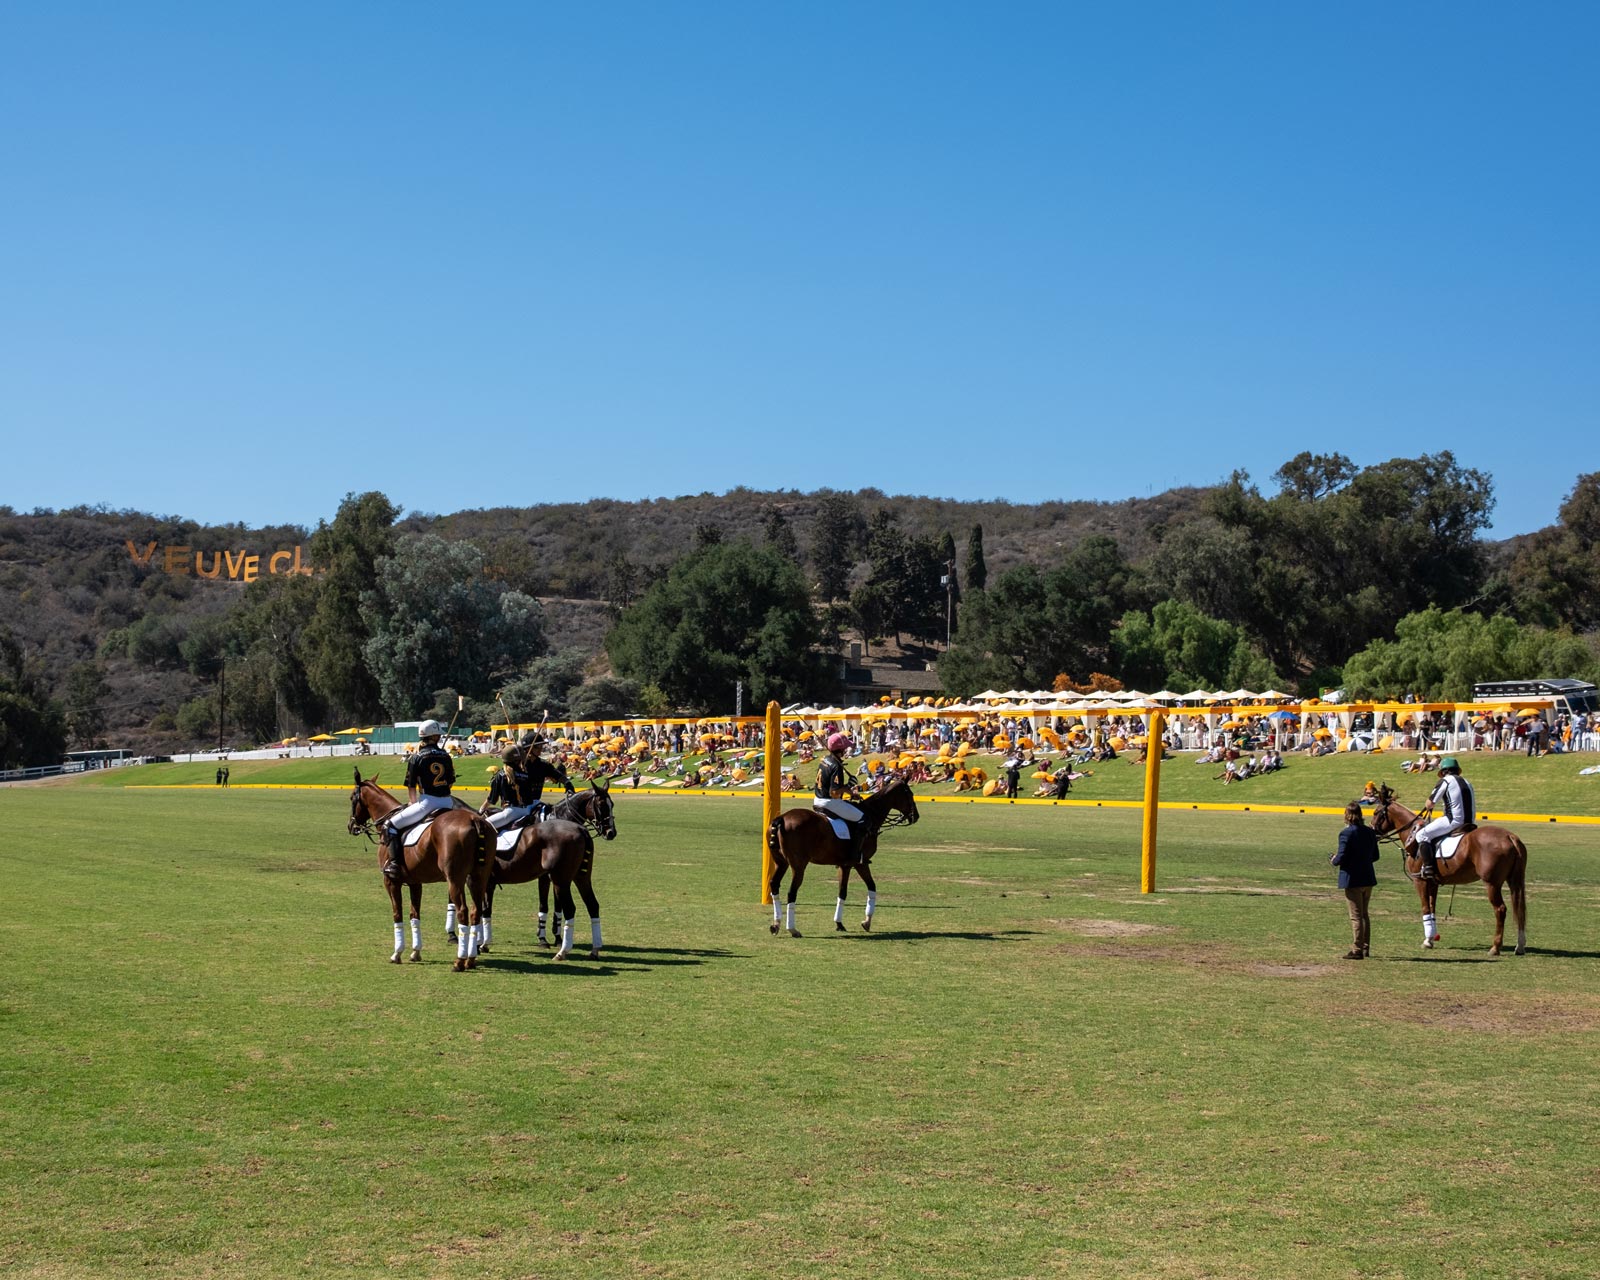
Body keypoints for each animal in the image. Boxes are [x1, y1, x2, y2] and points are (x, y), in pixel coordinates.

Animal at [347, 771, 496, 972]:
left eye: (351, 798)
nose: (351, 826)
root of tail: (475, 820)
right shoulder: (415, 882)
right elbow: (414, 915)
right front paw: (415, 952)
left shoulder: (390, 881)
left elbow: (397, 914)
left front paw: (397, 954)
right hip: (478, 876)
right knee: (476, 911)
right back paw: (471, 959)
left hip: (455, 878)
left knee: (463, 911)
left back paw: (459, 961)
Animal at [764, 774, 921, 934]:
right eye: (909, 794)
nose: (916, 816)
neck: (871, 815)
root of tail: (781, 818)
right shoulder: (858, 863)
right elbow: (861, 888)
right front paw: (864, 922)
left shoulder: (844, 865)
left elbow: (849, 891)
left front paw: (844, 923)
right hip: (798, 865)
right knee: (791, 892)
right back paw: (792, 929)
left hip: (781, 862)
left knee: (774, 885)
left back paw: (776, 924)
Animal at [1369, 780, 1529, 947]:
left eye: (1376, 813)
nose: (1371, 832)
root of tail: (1510, 837)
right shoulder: (1432, 882)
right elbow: (1432, 908)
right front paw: (1431, 938)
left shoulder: (1420, 880)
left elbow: (1425, 908)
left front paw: (1427, 941)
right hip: (1515, 880)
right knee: (1520, 908)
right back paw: (1520, 945)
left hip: (1492, 883)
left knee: (1500, 909)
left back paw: (1495, 947)